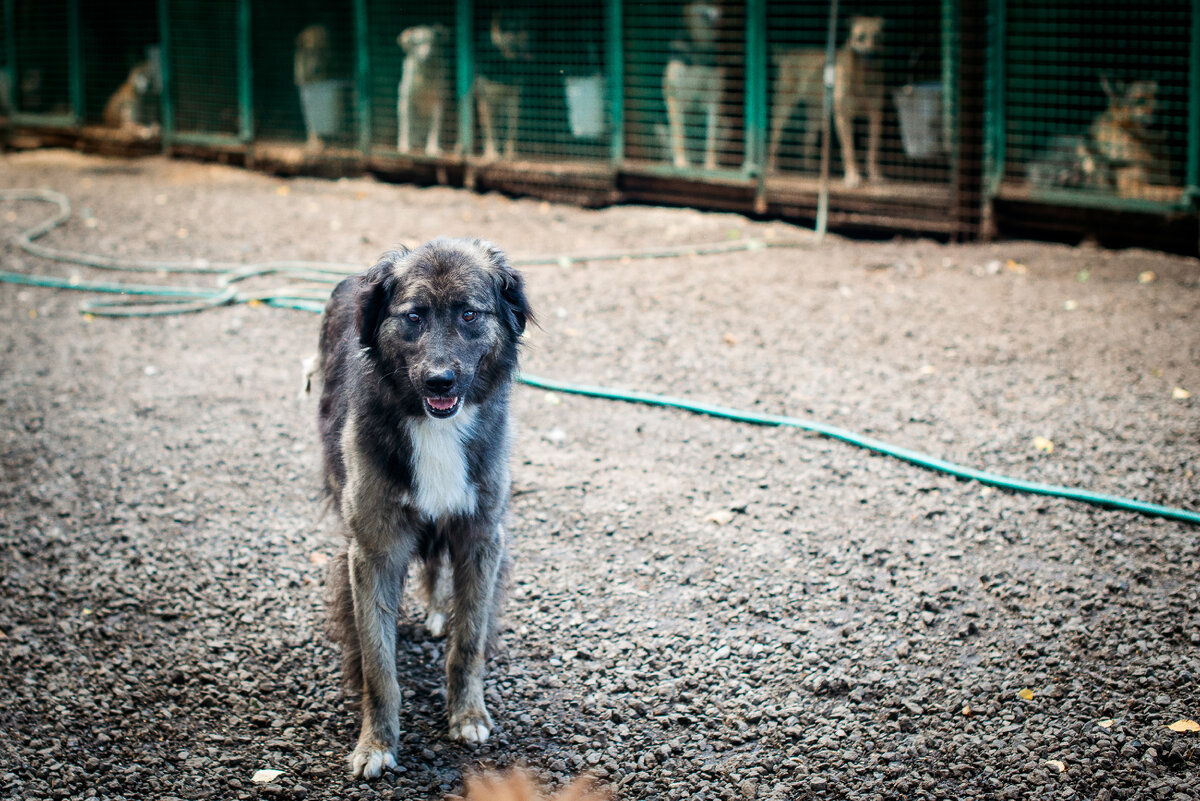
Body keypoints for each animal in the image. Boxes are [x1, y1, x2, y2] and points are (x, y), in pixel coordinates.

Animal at [768, 16, 892, 185]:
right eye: (860, 37)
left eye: (877, 37)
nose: (871, 55)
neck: (862, 77)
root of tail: (788, 54)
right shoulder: (844, 116)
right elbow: (848, 149)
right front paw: (852, 176)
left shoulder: (875, 115)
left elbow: (873, 149)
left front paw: (874, 174)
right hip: (783, 108)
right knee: (774, 137)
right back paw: (772, 168)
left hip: (816, 115)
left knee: (807, 140)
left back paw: (811, 170)